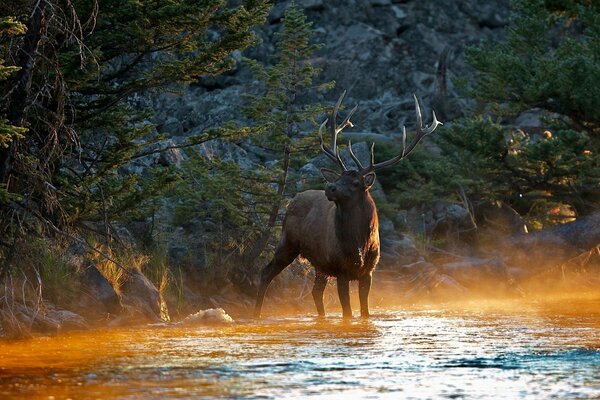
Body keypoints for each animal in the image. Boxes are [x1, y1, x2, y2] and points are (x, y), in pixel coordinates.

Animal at [253, 90, 440, 318]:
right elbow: (348, 313)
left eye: (355, 182)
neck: (358, 244)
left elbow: (365, 312)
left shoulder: (368, 272)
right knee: (266, 272)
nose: (330, 188)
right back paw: (256, 313)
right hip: (288, 241)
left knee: (316, 291)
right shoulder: (341, 269)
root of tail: (292, 199)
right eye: (339, 177)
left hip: (320, 263)